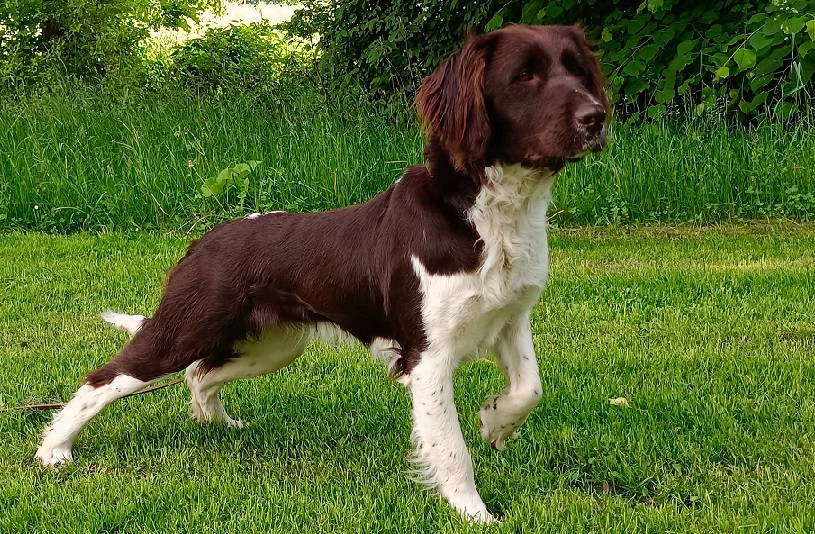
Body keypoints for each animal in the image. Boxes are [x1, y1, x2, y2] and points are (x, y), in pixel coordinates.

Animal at [36, 24, 608, 522]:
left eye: (578, 70)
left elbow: (529, 388)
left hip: (273, 345)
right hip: (185, 330)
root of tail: (203, 240)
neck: (487, 215)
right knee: (103, 379)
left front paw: (494, 421)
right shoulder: (427, 355)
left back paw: (221, 425)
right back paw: (54, 450)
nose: (597, 118)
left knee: (199, 375)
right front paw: (475, 513)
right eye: (524, 76)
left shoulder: (511, 317)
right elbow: (450, 448)